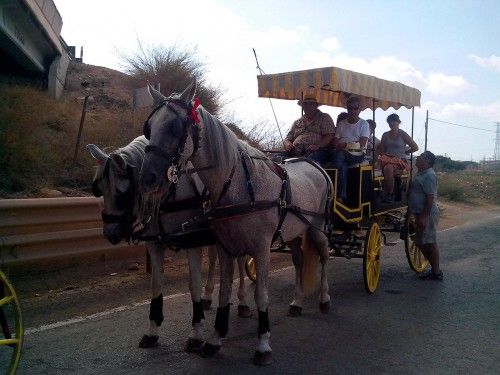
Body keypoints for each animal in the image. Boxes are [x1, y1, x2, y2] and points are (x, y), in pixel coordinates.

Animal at [87, 137, 250, 354]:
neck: (171, 192)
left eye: (122, 192)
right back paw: (208, 296)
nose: (110, 234)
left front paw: (196, 334)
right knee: (214, 257)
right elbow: (156, 285)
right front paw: (152, 332)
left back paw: (243, 301)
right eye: (99, 189)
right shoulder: (155, 244)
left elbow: (193, 285)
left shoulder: (192, 242)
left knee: (240, 262)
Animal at [139, 83, 334, 368]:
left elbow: (261, 295)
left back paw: (324, 299)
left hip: (317, 228)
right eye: (149, 128)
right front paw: (214, 339)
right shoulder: (225, 248)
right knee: (299, 261)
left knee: (323, 256)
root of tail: (314, 164)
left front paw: (263, 344)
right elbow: (223, 292)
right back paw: (297, 302)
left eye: (176, 127)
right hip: (294, 232)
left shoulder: (261, 249)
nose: (148, 177)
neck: (240, 185)